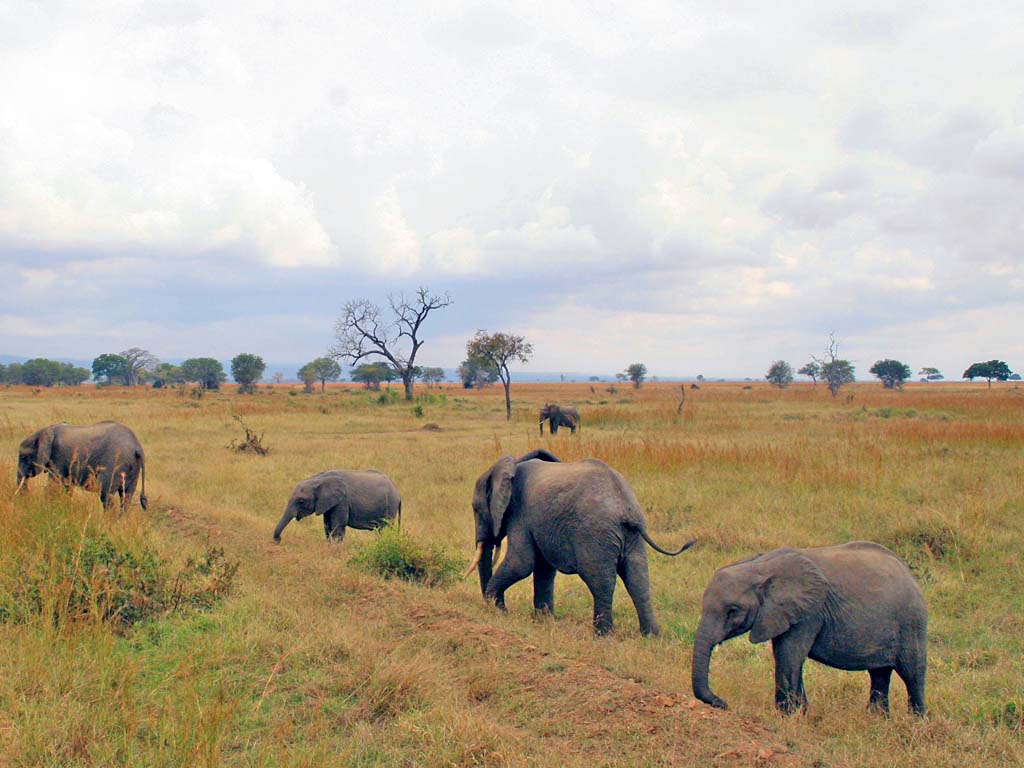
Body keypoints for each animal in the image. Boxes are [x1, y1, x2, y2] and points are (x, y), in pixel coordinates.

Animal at [16, 421, 149, 512]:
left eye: (23, 457)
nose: (26, 498)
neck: (44, 431)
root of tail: (138, 447)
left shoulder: (58, 458)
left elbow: (53, 485)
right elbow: (67, 486)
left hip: (115, 463)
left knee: (106, 495)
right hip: (133, 468)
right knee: (126, 497)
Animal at [466, 450, 696, 638]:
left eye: (476, 509)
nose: (495, 609)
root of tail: (627, 508)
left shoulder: (520, 513)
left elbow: (521, 563)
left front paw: (498, 611)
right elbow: (543, 568)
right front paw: (544, 620)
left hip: (595, 534)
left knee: (600, 580)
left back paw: (603, 635)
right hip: (631, 538)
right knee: (638, 579)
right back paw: (650, 636)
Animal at [688, 540, 929, 716]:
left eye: (732, 611)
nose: (724, 703)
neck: (759, 567)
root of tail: (909, 573)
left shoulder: (809, 613)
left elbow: (789, 656)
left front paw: (787, 716)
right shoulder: (781, 614)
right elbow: (787, 656)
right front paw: (801, 714)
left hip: (911, 622)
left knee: (912, 673)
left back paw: (916, 721)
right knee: (879, 673)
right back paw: (877, 719)